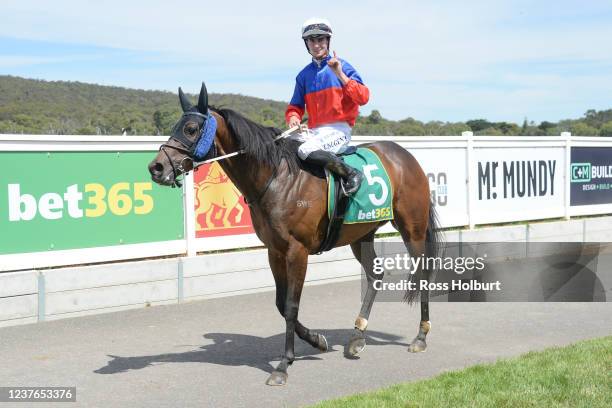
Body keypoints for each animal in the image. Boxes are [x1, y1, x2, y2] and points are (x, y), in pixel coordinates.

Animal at [147, 83, 440, 386]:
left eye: (191, 128)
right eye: (176, 125)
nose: (156, 167)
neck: (276, 177)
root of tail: (405, 155)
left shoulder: (297, 251)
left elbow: (290, 305)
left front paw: (284, 364)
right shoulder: (274, 251)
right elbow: (280, 303)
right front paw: (316, 340)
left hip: (412, 228)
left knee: (423, 273)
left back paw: (420, 335)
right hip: (362, 234)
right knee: (375, 275)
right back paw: (357, 336)